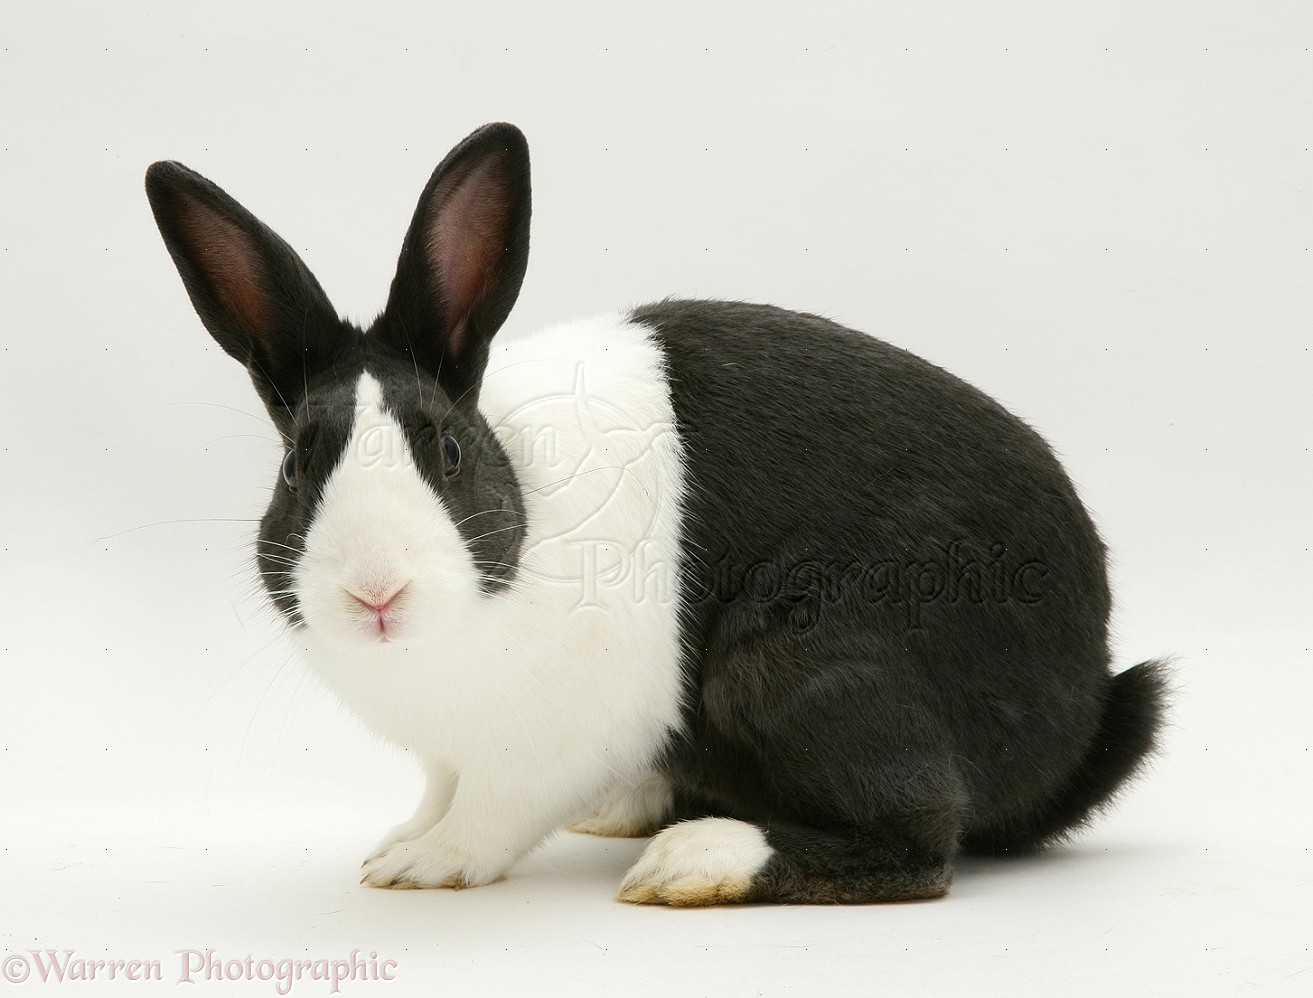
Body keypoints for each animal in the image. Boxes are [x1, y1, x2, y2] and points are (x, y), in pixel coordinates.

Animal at [145, 122, 1167, 906]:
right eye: (294, 467)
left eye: (447, 453)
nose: (374, 592)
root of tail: (1083, 713)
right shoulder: (450, 750)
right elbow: (440, 787)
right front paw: (396, 842)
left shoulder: (547, 740)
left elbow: (488, 813)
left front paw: (422, 865)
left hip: (802, 653)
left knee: (917, 839)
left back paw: (693, 861)